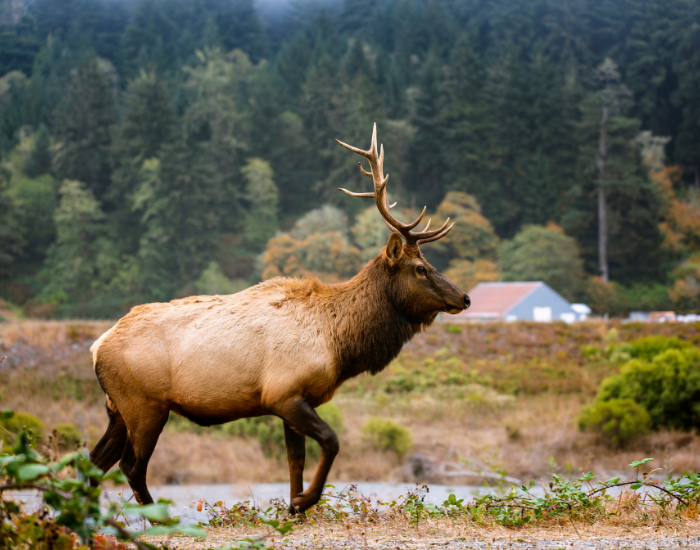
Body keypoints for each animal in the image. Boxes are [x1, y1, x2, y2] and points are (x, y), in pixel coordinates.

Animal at [89, 123, 470, 515]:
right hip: (145, 405)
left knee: (94, 462)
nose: (465, 297)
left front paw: (293, 509)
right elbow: (331, 441)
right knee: (131, 466)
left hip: (116, 409)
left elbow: (294, 462)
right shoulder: (283, 393)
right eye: (420, 268)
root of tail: (97, 346)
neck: (339, 344)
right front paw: (304, 501)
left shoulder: (296, 399)